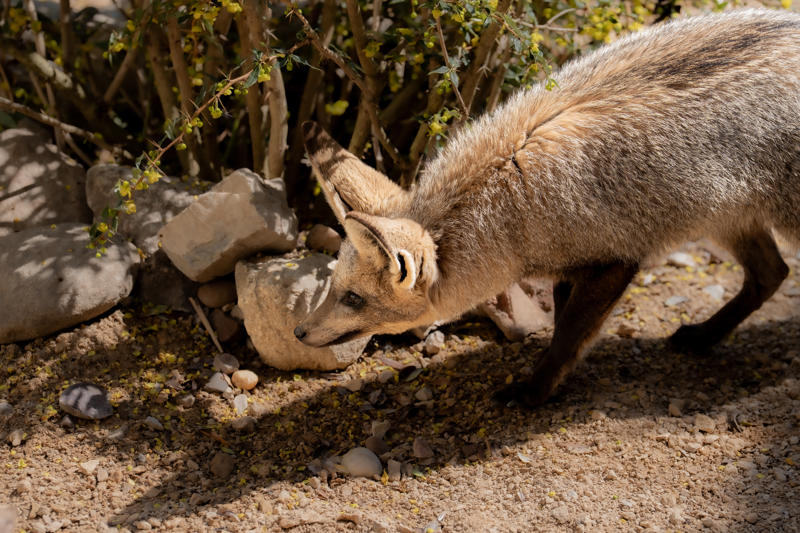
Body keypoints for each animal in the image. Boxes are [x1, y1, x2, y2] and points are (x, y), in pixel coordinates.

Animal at [294, 9, 800, 407]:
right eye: (333, 287)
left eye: (354, 299)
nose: (299, 333)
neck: (509, 199)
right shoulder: (570, 265)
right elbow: (560, 319)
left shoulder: (616, 262)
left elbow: (569, 333)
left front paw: (535, 389)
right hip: (729, 220)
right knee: (772, 274)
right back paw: (704, 336)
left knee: (774, 273)